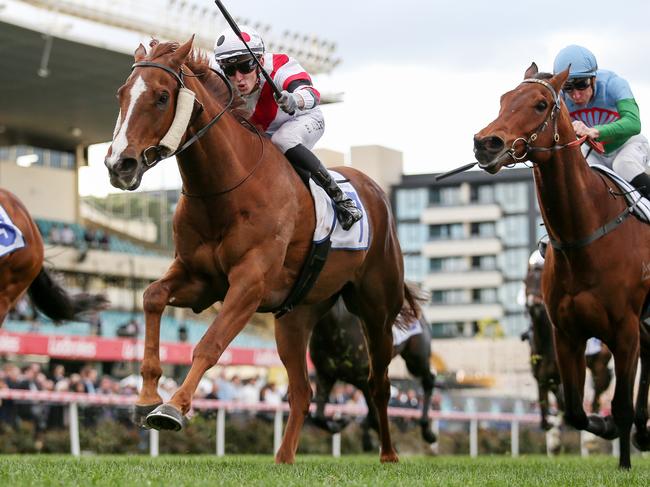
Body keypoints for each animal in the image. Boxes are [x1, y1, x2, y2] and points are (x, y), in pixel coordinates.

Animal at [103, 38, 412, 466]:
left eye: (162, 97)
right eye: (121, 94)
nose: (119, 164)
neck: (225, 189)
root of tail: (375, 191)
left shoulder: (249, 284)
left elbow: (209, 344)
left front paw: (173, 407)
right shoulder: (201, 279)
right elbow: (152, 297)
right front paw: (147, 395)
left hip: (377, 310)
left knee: (378, 383)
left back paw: (389, 455)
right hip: (296, 316)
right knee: (302, 391)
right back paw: (284, 457)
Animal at [524, 260, 612, 430]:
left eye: (540, 281)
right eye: (526, 281)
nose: (534, 305)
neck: (545, 344)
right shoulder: (542, 378)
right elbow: (548, 402)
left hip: (600, 362)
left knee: (599, 385)